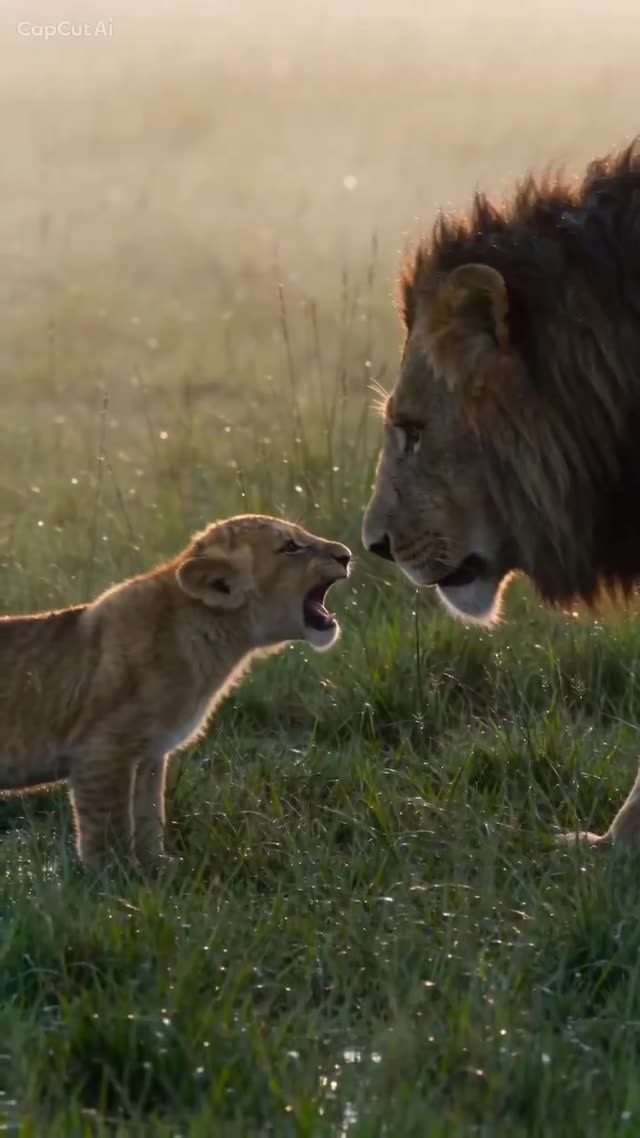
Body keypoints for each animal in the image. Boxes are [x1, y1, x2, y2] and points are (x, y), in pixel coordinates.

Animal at [0, 515, 350, 868]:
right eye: (290, 546)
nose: (346, 555)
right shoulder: (102, 750)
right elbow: (108, 829)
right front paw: (114, 876)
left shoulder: (150, 754)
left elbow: (149, 816)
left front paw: (158, 868)